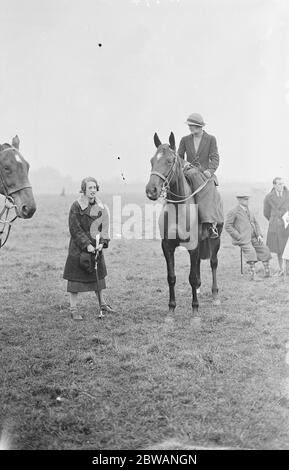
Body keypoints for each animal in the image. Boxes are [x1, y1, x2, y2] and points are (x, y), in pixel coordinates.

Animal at [146, 134, 223, 314]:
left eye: (169, 161)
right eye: (152, 161)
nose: (151, 190)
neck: (178, 210)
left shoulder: (193, 246)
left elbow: (192, 277)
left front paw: (195, 310)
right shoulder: (167, 246)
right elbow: (171, 277)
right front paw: (171, 309)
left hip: (215, 239)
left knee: (213, 263)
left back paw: (215, 295)